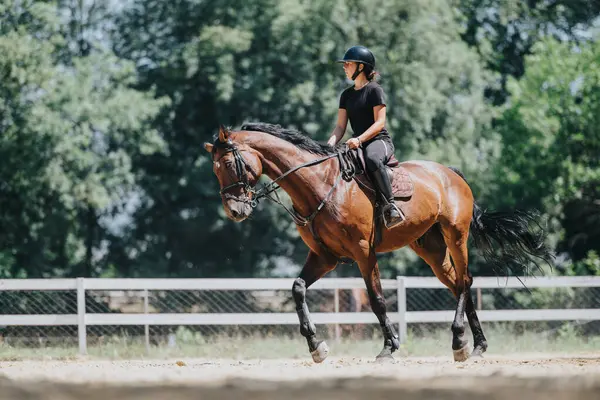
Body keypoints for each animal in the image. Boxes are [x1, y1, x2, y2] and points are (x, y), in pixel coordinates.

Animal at [205, 122, 552, 362]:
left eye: (230, 165)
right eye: (215, 170)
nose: (235, 211)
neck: (320, 185)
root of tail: (452, 173)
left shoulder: (363, 251)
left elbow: (377, 300)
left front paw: (389, 346)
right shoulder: (324, 256)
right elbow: (298, 288)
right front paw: (316, 346)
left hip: (456, 235)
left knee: (466, 280)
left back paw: (459, 341)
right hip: (431, 249)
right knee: (457, 284)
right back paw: (475, 344)